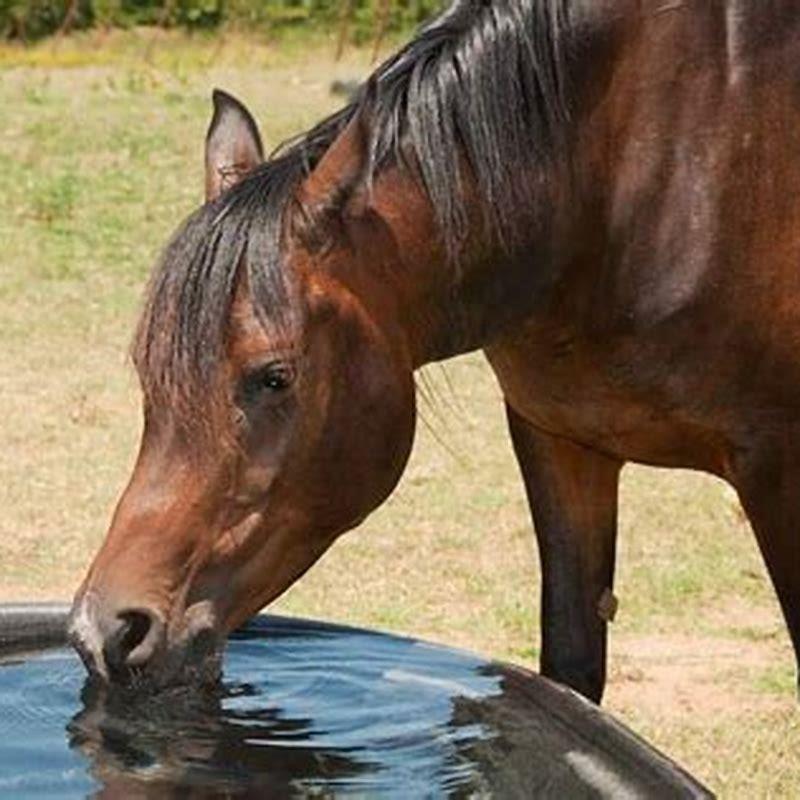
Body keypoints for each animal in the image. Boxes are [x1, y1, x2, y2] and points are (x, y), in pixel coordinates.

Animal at [70, 0, 800, 704]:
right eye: (149, 376)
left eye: (273, 377)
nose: (105, 633)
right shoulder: (559, 439)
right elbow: (571, 668)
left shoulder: (777, 468)